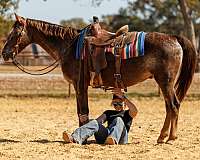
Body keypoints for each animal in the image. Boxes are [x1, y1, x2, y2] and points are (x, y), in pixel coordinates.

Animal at [0, 14, 196, 143]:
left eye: (14, 33)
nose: (5, 53)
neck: (69, 46)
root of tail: (174, 38)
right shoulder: (80, 86)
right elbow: (82, 113)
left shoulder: (79, 85)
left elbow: (83, 112)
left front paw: (82, 139)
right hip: (164, 83)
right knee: (170, 107)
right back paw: (163, 136)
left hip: (165, 81)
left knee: (173, 105)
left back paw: (170, 138)